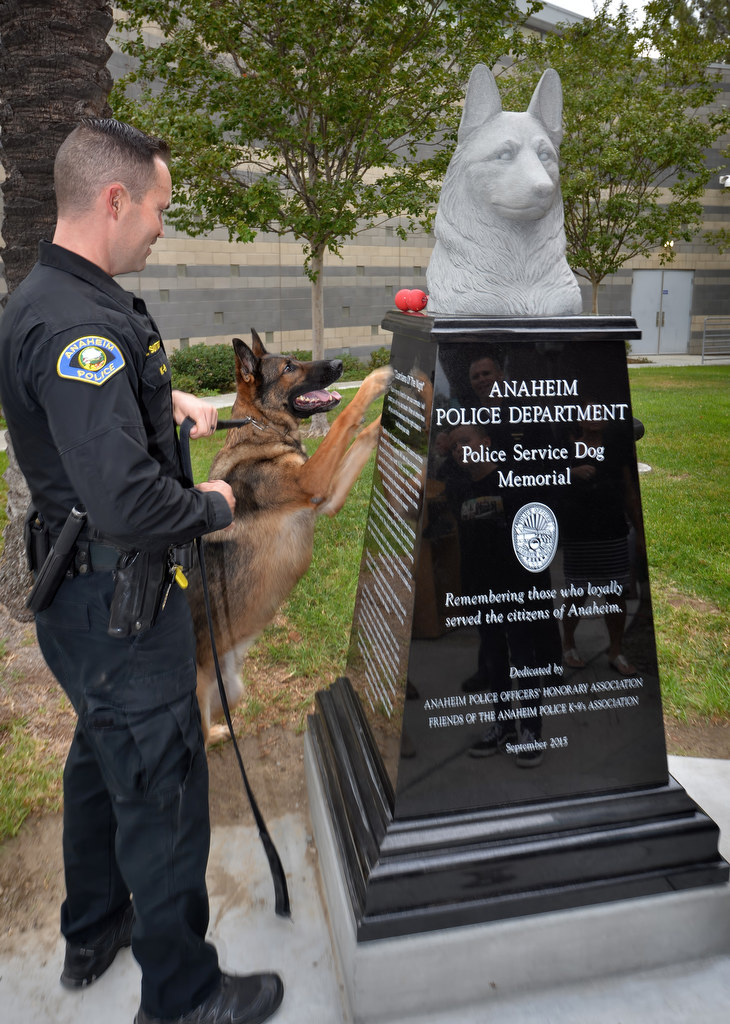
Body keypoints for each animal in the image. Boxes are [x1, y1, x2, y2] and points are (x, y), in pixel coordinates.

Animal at [189, 331, 393, 741]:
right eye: (288, 368)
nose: (339, 365)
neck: (263, 428)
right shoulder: (312, 480)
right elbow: (345, 418)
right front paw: (376, 379)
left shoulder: (327, 497)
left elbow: (362, 432)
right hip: (199, 692)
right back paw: (216, 735)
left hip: (232, 691)